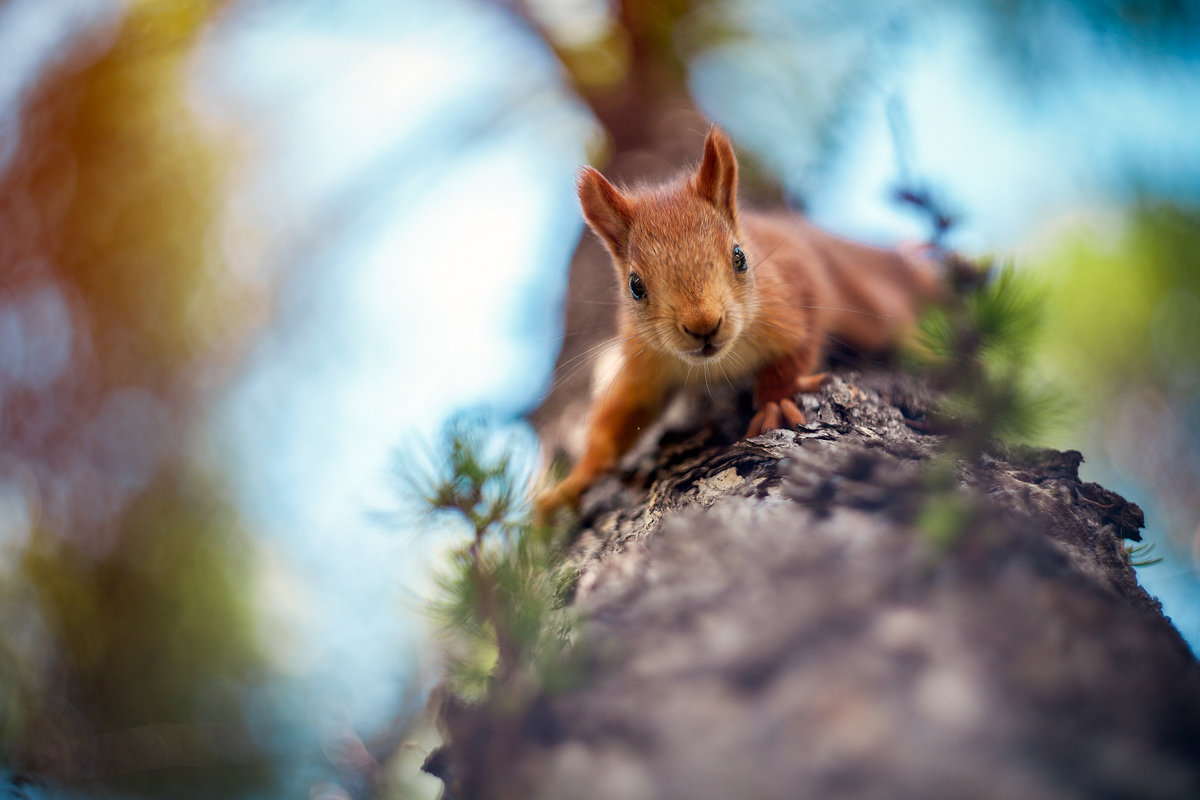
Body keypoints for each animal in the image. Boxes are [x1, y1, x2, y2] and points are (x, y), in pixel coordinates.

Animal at [537, 125, 945, 520]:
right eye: (635, 286)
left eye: (740, 257)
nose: (703, 325)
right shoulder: (646, 362)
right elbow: (620, 417)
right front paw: (574, 481)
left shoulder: (794, 300)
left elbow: (797, 351)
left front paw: (775, 399)